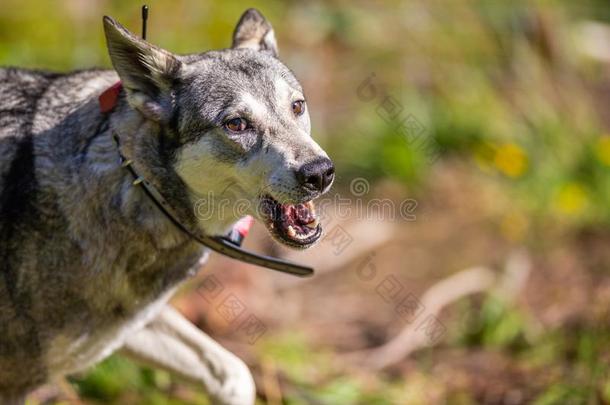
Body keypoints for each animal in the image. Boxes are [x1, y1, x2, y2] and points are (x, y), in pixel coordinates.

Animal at [0, 9, 332, 404]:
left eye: (297, 106)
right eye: (236, 124)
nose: (320, 173)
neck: (134, 182)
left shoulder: (134, 323)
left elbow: (233, 373)